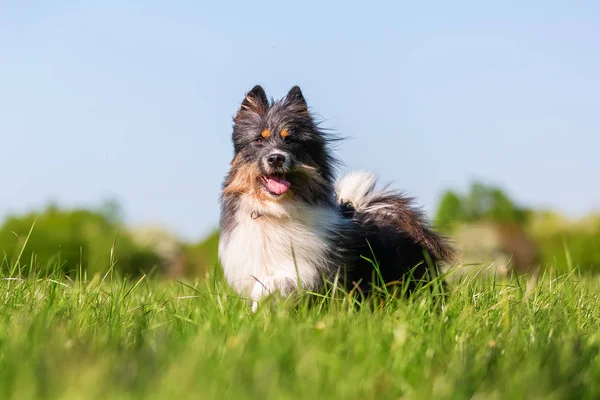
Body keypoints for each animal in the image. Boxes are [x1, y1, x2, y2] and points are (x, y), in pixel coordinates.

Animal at [218, 83, 452, 310]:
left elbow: (276, 282)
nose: (276, 158)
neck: (277, 210)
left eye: (290, 140)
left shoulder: (307, 267)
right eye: (259, 140)